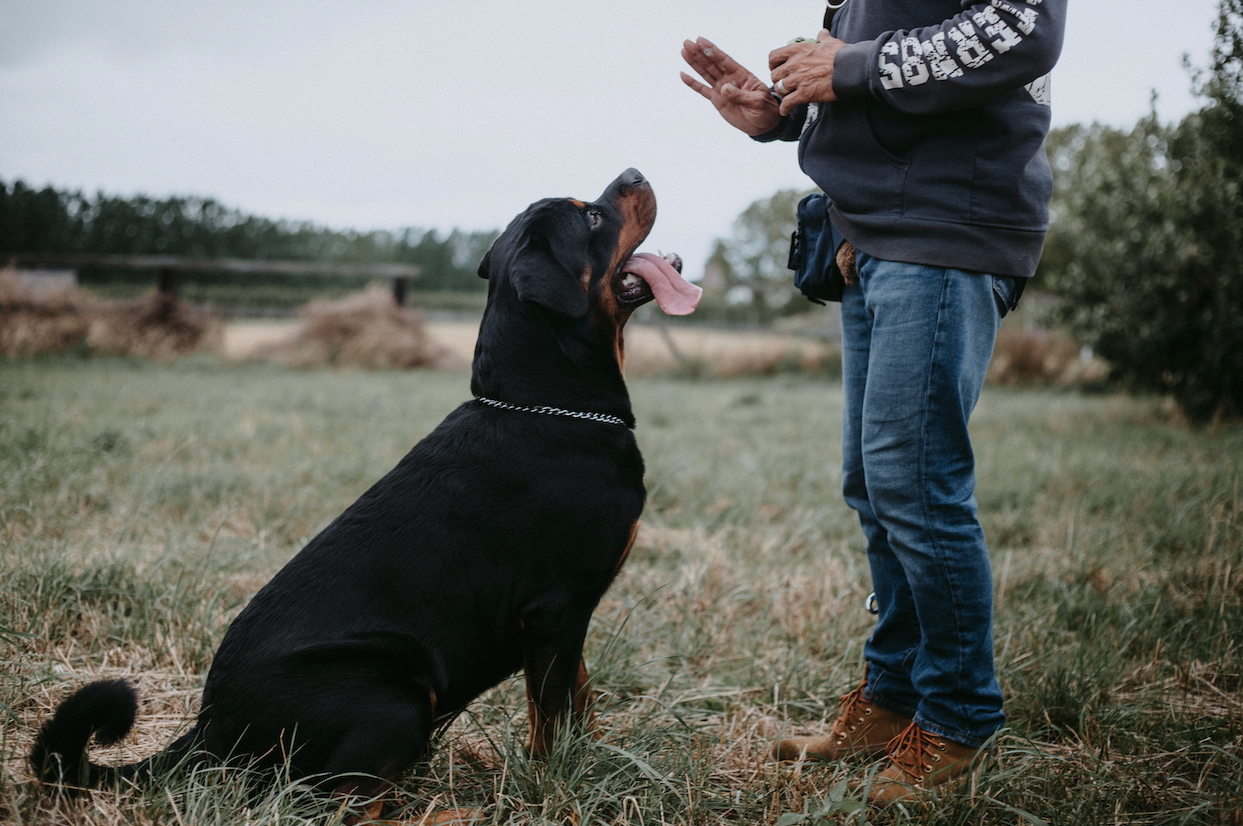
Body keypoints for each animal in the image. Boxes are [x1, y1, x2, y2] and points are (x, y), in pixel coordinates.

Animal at [31, 166, 701, 804]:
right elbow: (553, 718)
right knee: (337, 801)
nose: (635, 171)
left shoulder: (568, 621)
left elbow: (580, 703)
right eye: (591, 217)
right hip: (394, 697)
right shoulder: (555, 612)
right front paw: (558, 784)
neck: (545, 403)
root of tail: (210, 727)